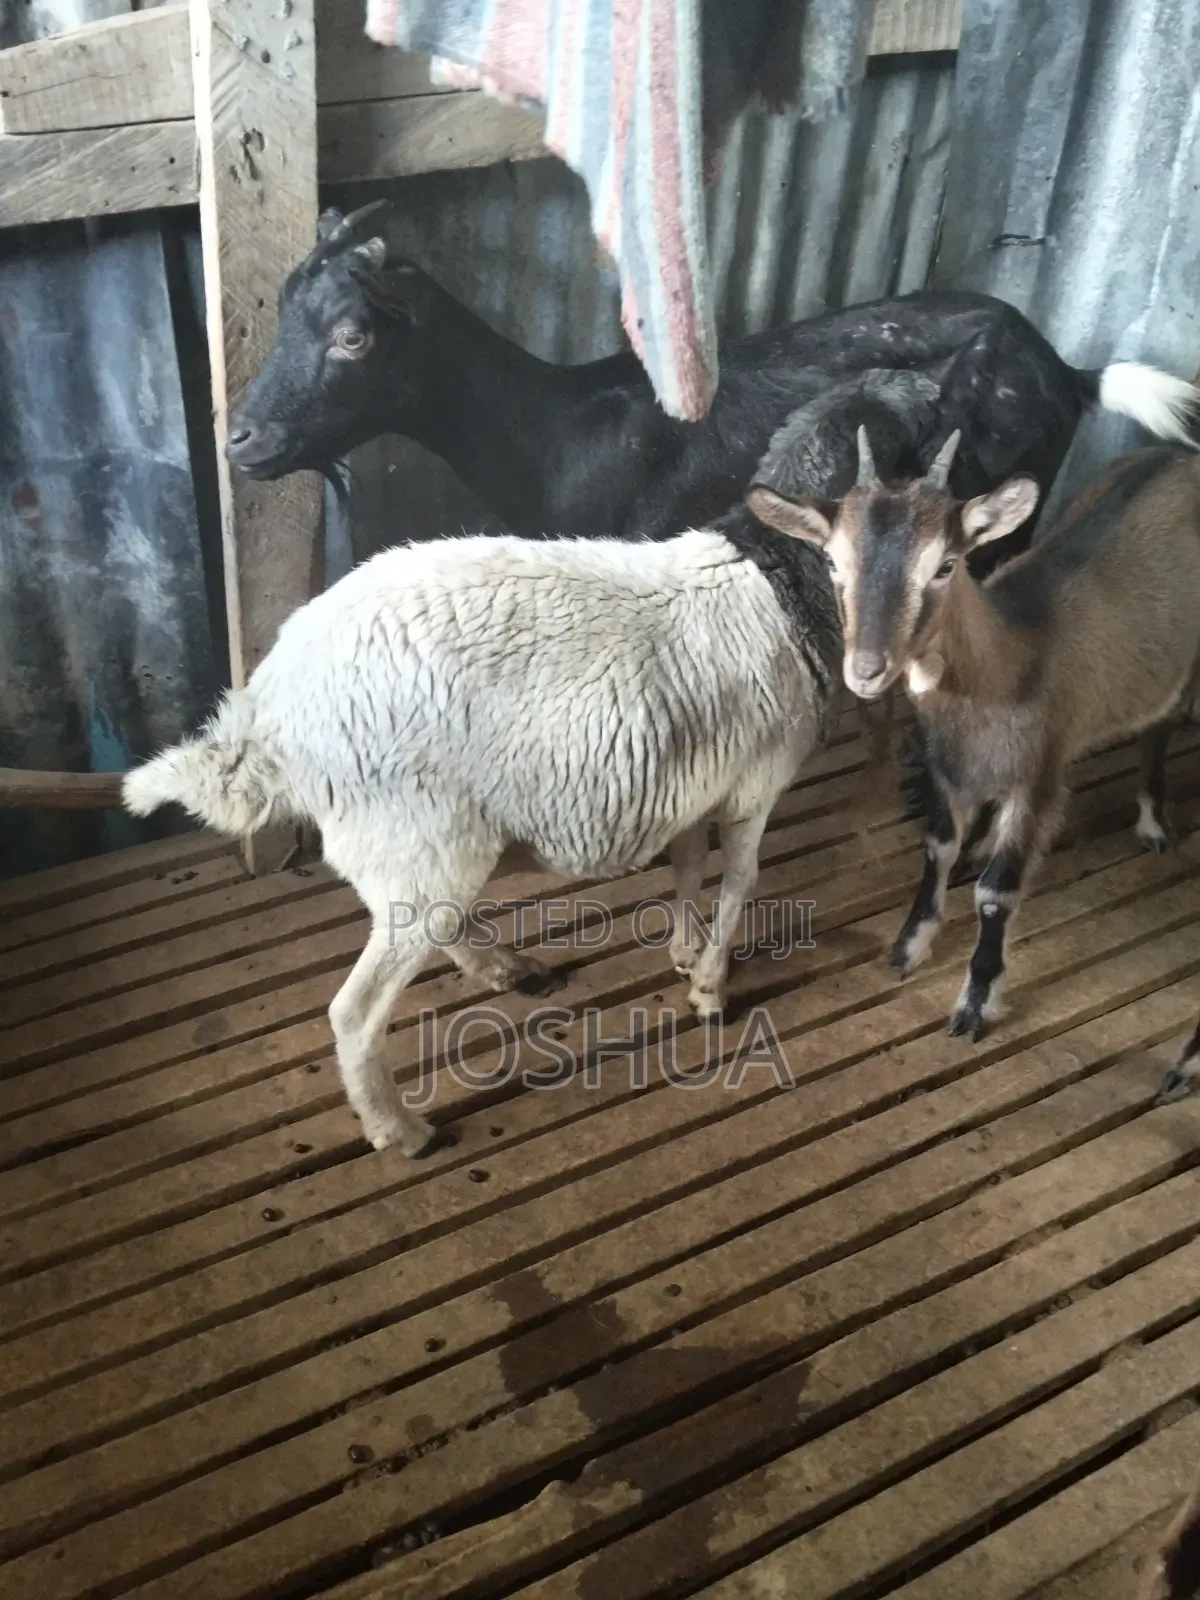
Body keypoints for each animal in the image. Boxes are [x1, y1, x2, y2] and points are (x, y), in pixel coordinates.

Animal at [123, 523, 839, 1155]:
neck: (775, 589)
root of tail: (269, 714)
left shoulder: (698, 782)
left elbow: (689, 862)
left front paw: (687, 954)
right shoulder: (754, 784)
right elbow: (740, 879)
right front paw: (711, 989)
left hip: (429, 844)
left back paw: (506, 970)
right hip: (415, 832)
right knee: (356, 1010)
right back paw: (400, 1131)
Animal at [225, 204, 1198, 556]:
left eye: (352, 336)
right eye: (278, 312)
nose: (241, 437)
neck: (552, 430)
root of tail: (1066, 367)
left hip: (1006, 508)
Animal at [746, 432, 1200, 1044]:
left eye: (945, 566)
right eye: (834, 561)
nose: (866, 670)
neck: (1010, 657)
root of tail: (1177, 454)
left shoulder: (1038, 777)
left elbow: (996, 894)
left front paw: (975, 1002)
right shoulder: (948, 765)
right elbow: (937, 847)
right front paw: (909, 945)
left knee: (1161, 722)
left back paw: (1153, 821)